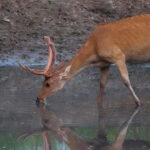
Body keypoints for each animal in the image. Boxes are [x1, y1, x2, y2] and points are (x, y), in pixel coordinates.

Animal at [18, 13, 150, 105]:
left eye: (48, 84)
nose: (38, 99)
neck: (94, 48)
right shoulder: (105, 63)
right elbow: (102, 84)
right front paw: (98, 103)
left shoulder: (118, 55)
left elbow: (126, 80)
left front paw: (139, 103)